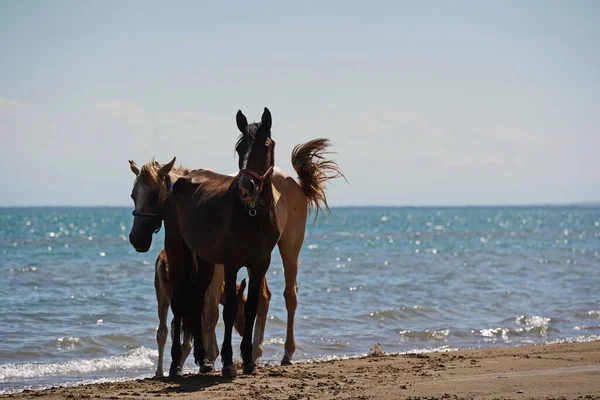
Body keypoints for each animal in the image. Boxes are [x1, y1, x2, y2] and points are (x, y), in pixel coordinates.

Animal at [152, 248, 246, 376]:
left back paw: (162, 371)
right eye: (244, 303)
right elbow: (209, 322)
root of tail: (163, 262)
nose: (242, 330)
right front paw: (209, 359)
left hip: (163, 296)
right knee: (179, 334)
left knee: (163, 331)